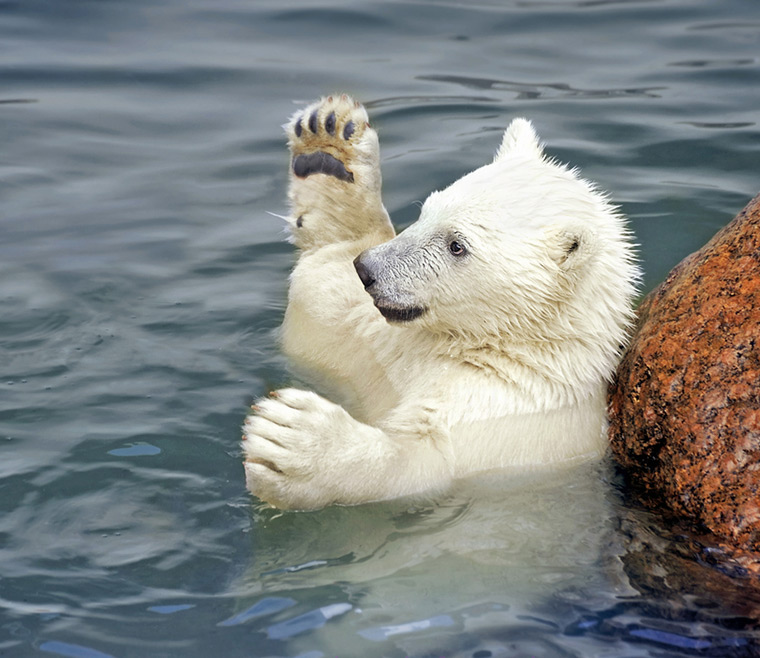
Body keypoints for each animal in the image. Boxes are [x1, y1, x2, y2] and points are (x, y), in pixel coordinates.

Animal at [242, 95, 636, 510]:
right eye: (426, 210)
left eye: (456, 245)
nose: (368, 270)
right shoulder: (377, 345)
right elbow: (326, 304)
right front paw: (328, 143)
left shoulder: (502, 420)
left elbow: (423, 461)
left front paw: (299, 442)